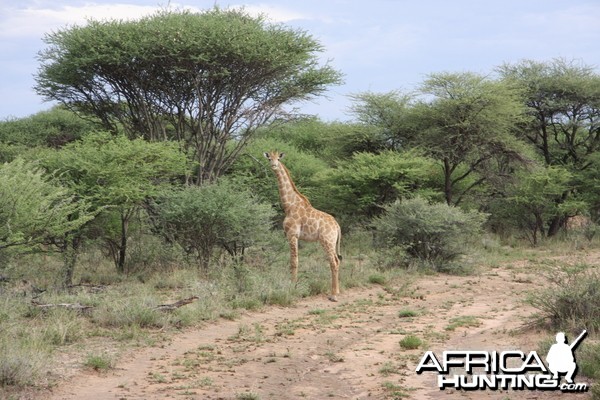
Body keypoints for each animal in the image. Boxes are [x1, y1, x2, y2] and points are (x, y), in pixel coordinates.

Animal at [264, 152, 342, 302]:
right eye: (269, 158)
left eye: (278, 159)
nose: (274, 165)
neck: (289, 205)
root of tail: (337, 226)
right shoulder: (292, 236)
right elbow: (293, 261)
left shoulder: (292, 234)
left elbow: (294, 261)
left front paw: (293, 287)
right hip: (331, 242)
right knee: (337, 261)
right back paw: (337, 291)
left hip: (327, 241)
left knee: (334, 262)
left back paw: (334, 295)